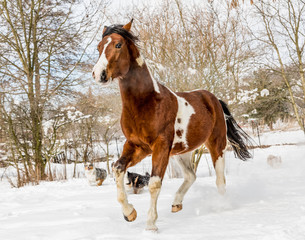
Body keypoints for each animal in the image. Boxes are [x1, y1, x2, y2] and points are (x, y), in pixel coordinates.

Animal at [91, 20, 252, 231]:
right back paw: (176, 204)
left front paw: (151, 225)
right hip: (181, 152)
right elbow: (118, 168)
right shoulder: (137, 146)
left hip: (216, 144)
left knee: (220, 180)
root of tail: (212, 98)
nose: (98, 74)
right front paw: (130, 213)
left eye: (118, 45)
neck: (145, 103)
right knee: (191, 176)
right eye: (99, 47)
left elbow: (154, 183)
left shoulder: (160, 146)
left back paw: (221, 207)